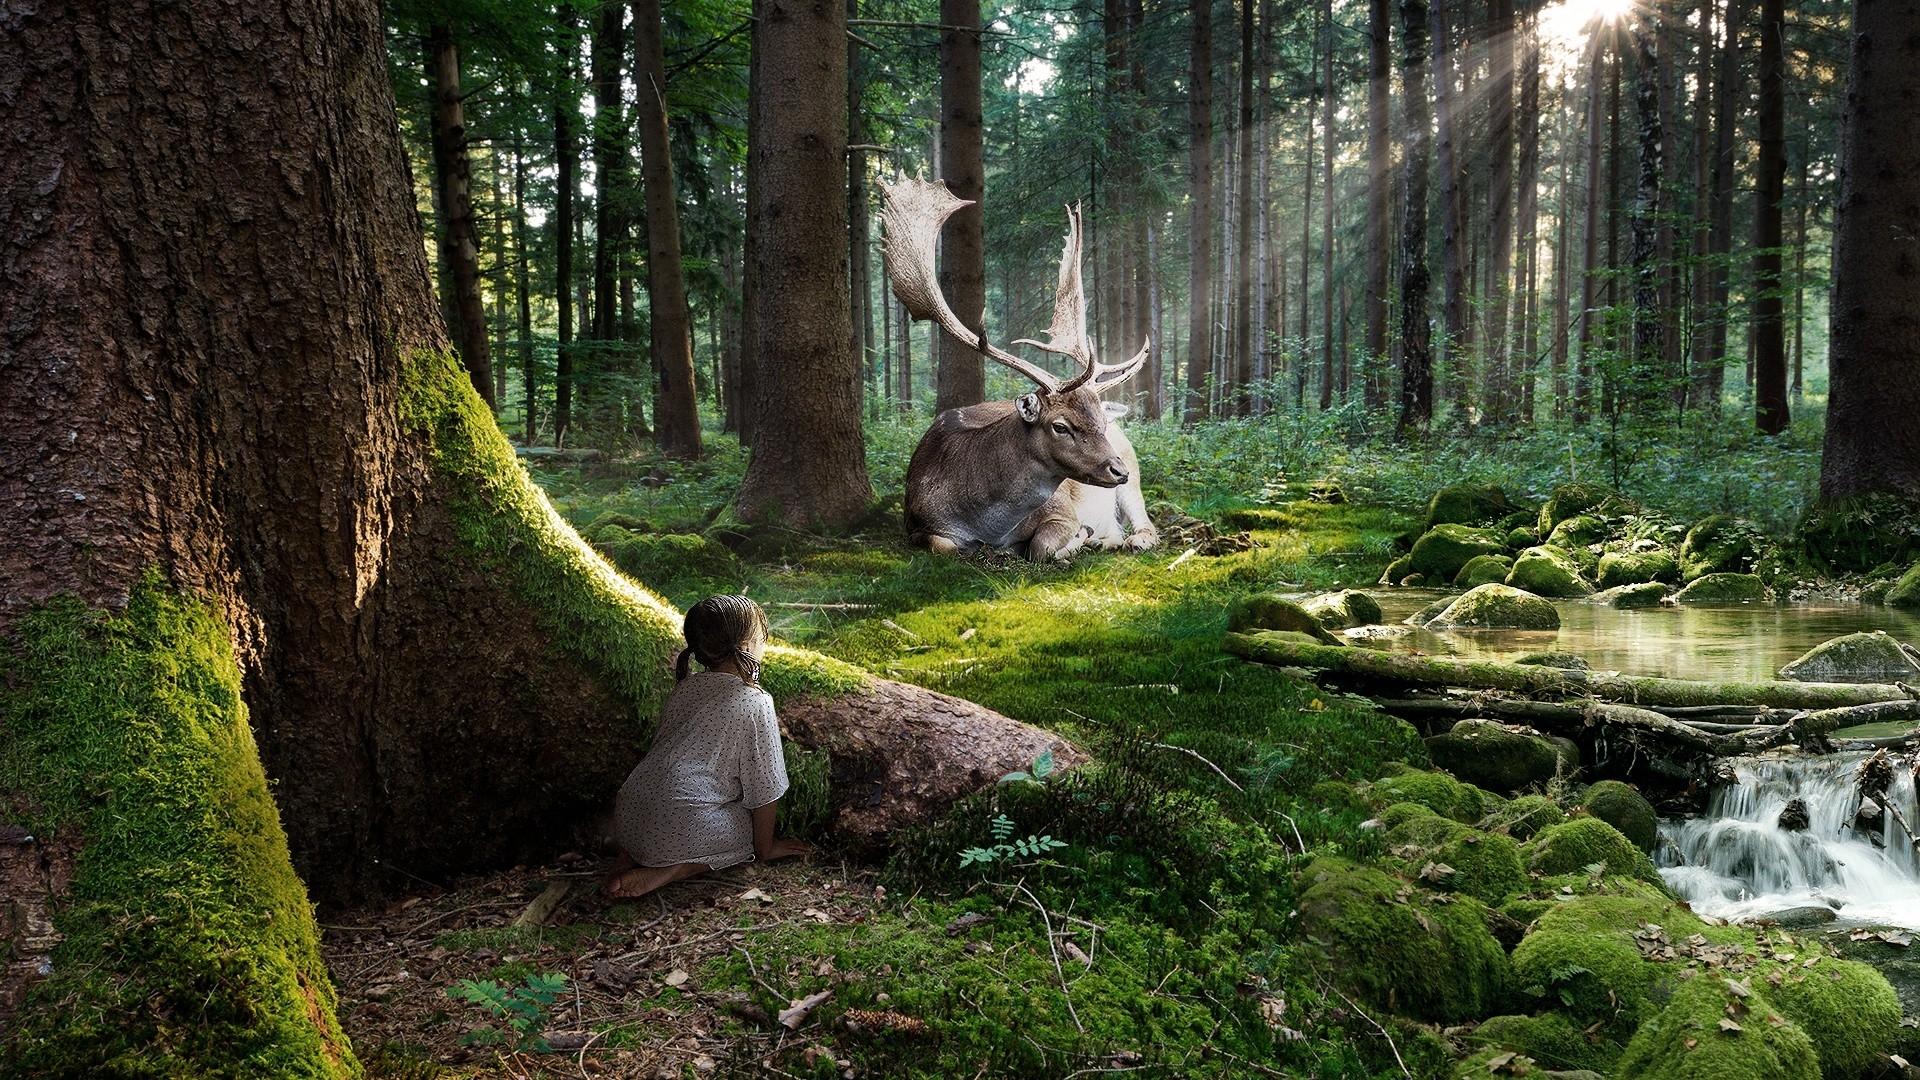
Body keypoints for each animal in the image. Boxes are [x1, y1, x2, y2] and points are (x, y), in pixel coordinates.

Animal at [879, 175, 1151, 561]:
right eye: (1060, 426)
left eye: (1100, 422)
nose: (1117, 470)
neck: (985, 524)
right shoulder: (915, 522)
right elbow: (943, 545)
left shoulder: (1062, 509)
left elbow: (1041, 546)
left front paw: (1074, 539)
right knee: (1115, 529)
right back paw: (1102, 539)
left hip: (1134, 470)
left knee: (1145, 523)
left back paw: (1128, 538)